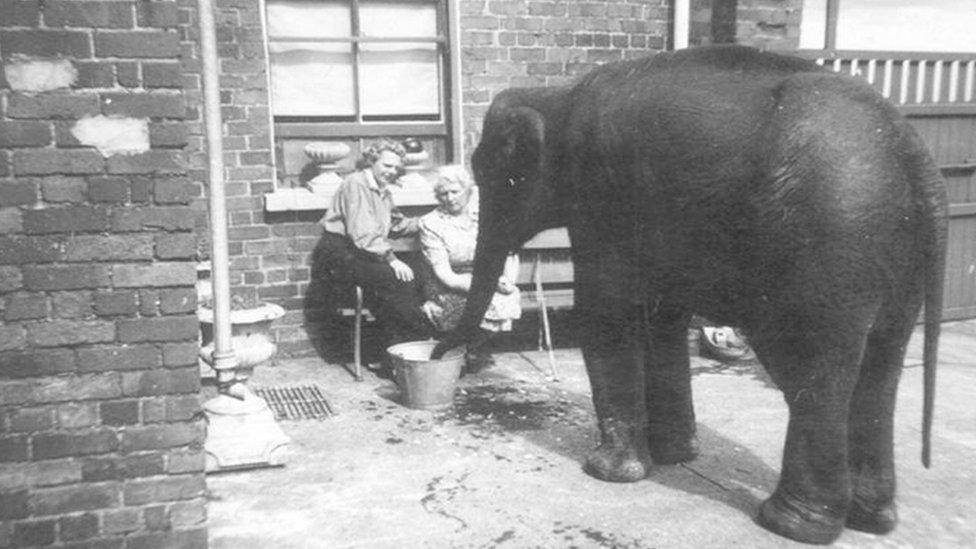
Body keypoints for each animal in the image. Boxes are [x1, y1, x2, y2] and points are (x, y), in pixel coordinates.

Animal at [438, 46, 948, 544]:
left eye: (487, 172)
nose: (444, 356)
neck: (557, 95)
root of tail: (913, 151)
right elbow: (664, 315)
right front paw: (676, 456)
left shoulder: (605, 199)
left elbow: (605, 311)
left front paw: (608, 472)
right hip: (897, 262)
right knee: (880, 369)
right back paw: (872, 519)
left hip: (825, 251)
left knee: (813, 372)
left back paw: (789, 524)